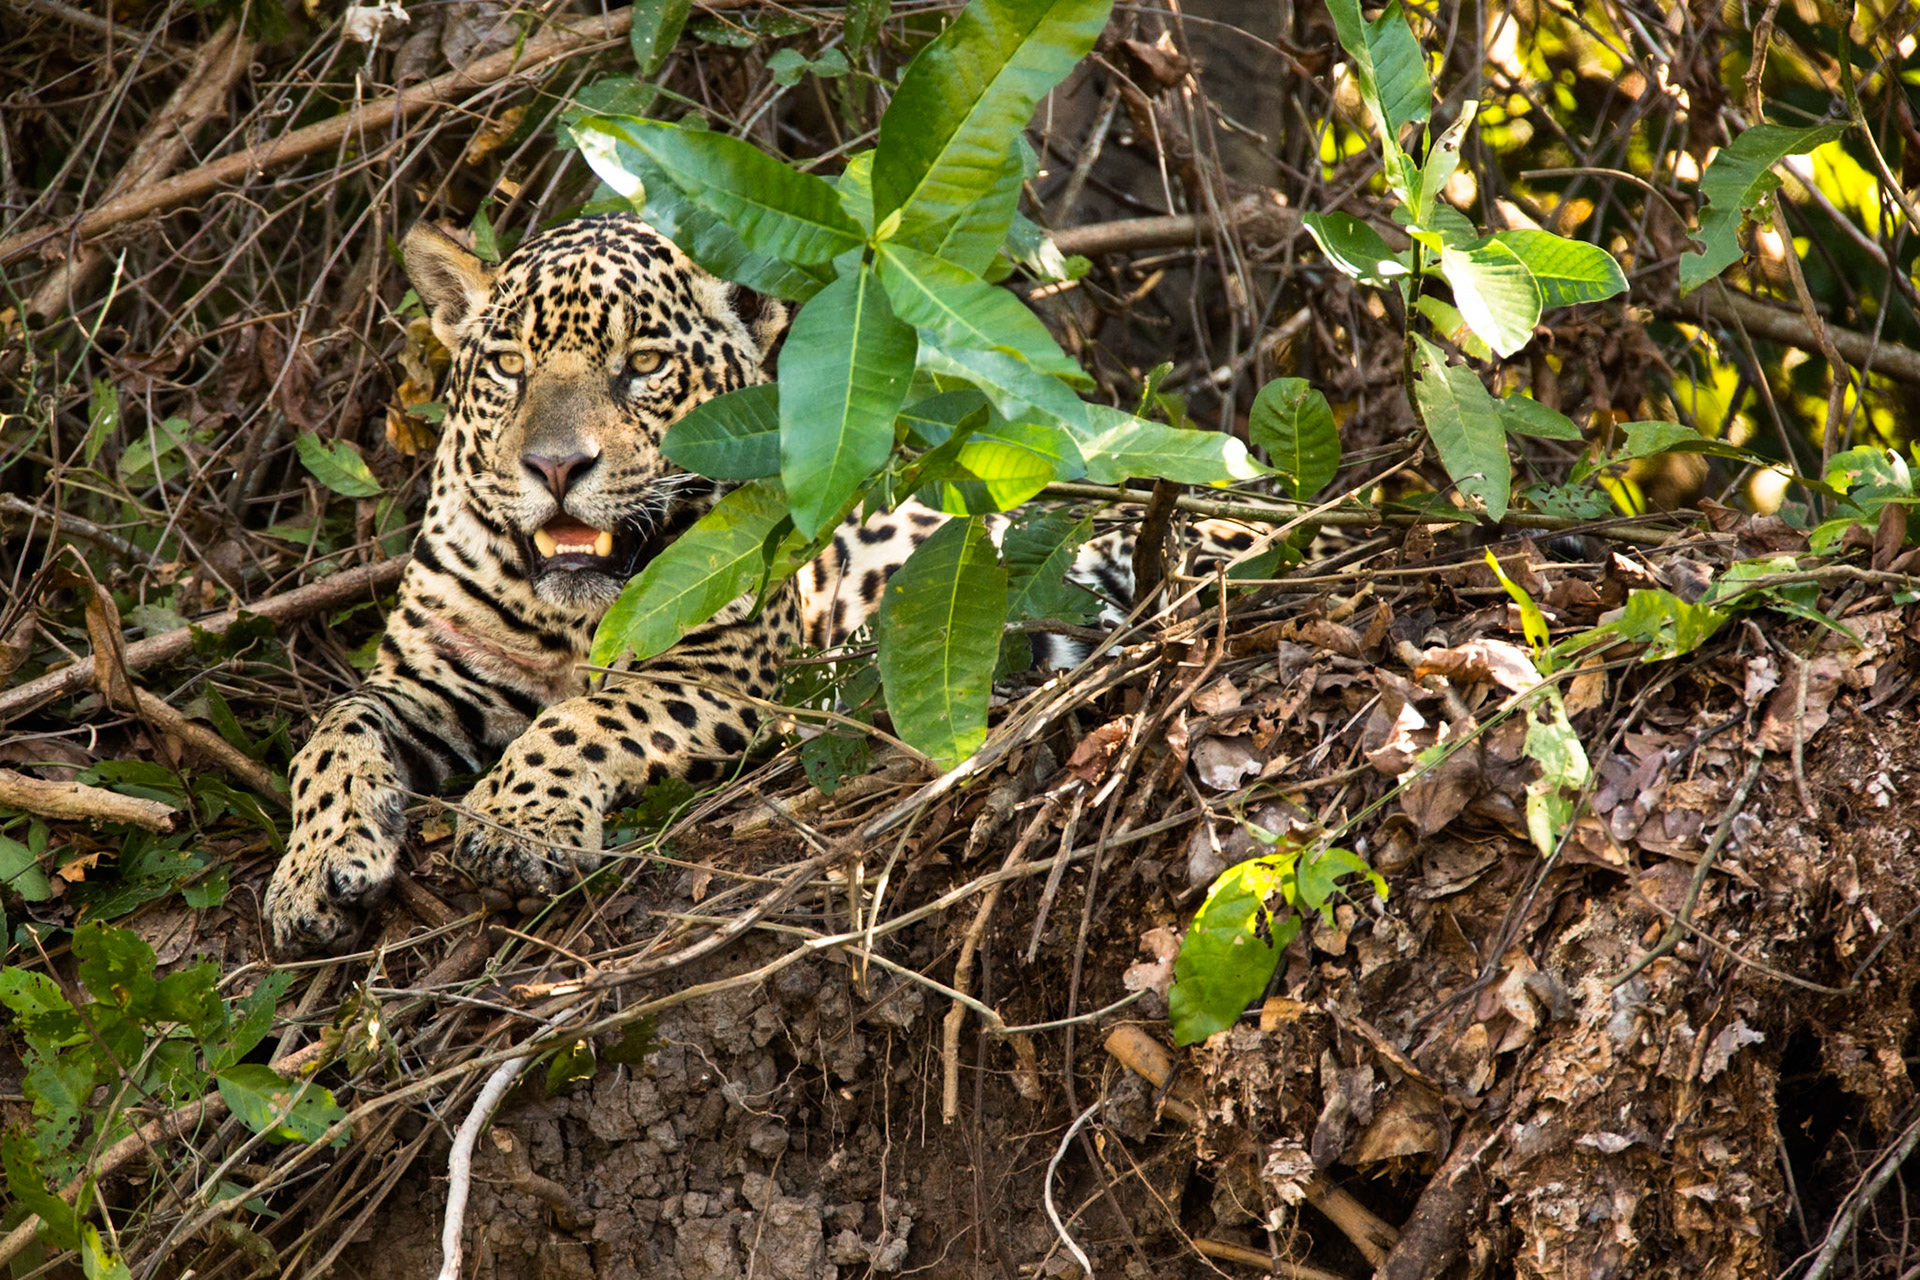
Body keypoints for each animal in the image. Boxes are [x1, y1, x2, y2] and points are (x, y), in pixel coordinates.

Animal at [262, 211, 1262, 955]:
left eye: (643, 367)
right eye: (509, 366)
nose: (554, 466)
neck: (572, 622)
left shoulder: (724, 677)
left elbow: (581, 717)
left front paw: (516, 824)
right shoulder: (432, 676)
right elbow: (333, 730)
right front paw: (312, 875)